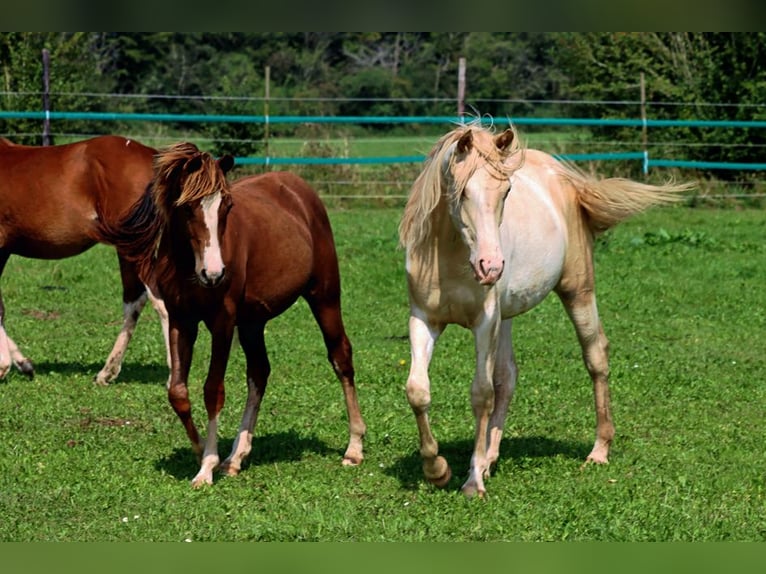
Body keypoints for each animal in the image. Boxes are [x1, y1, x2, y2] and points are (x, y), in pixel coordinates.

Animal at [0, 136, 170, 388]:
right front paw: (24, 365)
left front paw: (5, 366)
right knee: (134, 302)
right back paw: (107, 372)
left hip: (135, 247)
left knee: (158, 302)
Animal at [97, 142, 368, 488]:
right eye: (187, 207)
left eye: (226, 206)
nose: (214, 274)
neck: (188, 266)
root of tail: (300, 190)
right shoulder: (181, 320)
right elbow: (177, 392)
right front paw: (201, 449)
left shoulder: (222, 323)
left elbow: (213, 390)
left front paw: (206, 467)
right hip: (253, 321)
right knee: (259, 372)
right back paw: (237, 456)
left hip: (325, 297)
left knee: (340, 357)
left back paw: (354, 447)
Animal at [400, 122, 700, 500]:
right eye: (462, 191)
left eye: (506, 191)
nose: (490, 266)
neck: (451, 258)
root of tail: (564, 176)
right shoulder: (424, 320)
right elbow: (418, 390)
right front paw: (437, 469)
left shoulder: (484, 323)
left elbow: (481, 394)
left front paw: (472, 482)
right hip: (505, 319)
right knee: (507, 377)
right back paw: (491, 458)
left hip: (577, 292)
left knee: (596, 357)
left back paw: (599, 451)